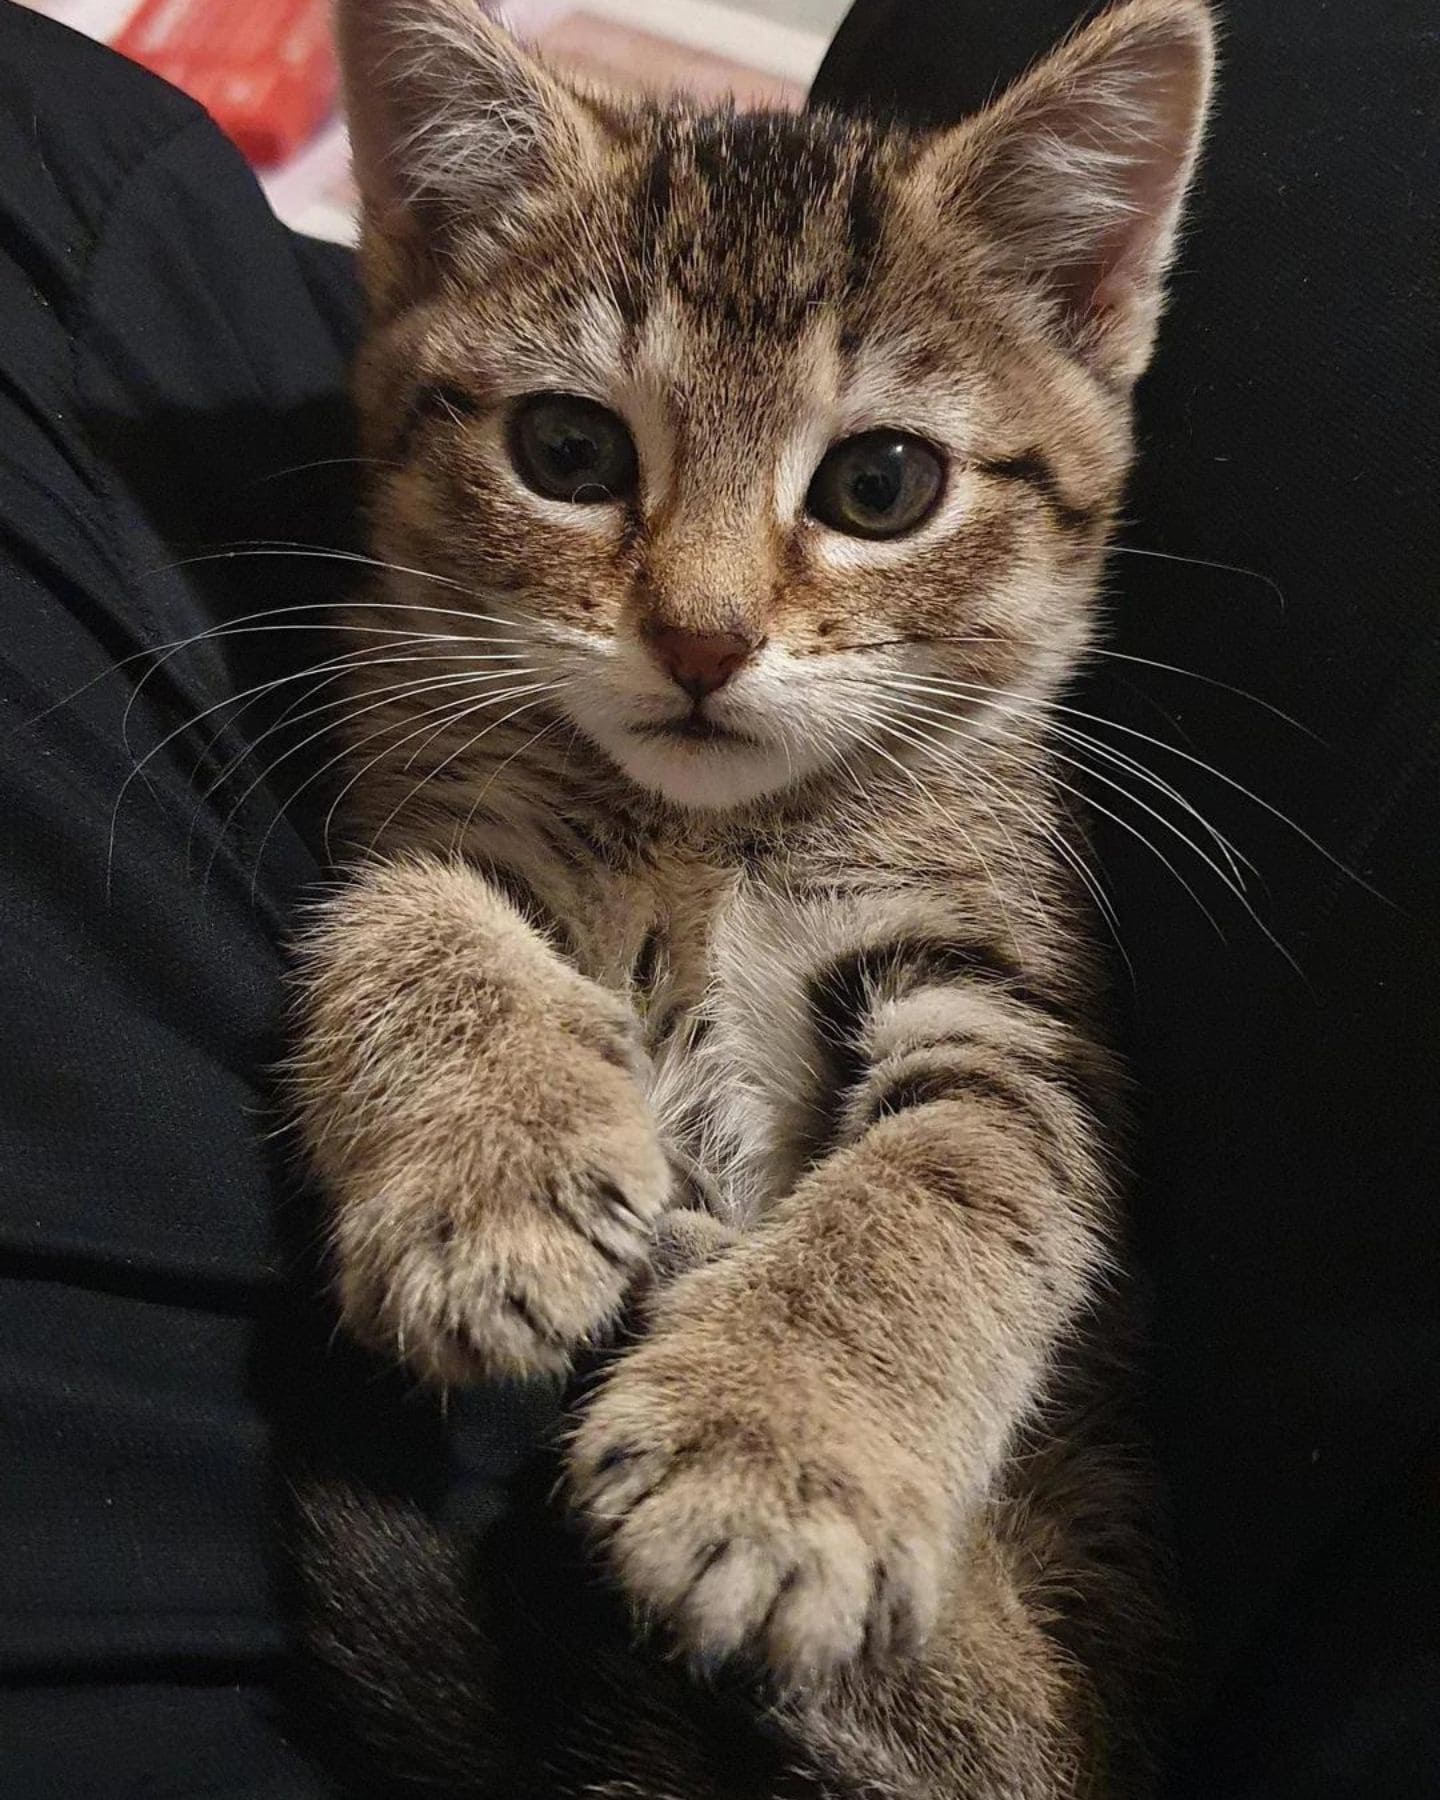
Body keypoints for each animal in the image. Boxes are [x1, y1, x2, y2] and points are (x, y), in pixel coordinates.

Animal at [291, 7, 1216, 1792]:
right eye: (568, 452)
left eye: (881, 486)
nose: (701, 641)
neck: (704, 841)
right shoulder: (429, 813)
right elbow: (404, 916)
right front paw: (490, 1183)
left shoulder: (1013, 995)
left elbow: (955, 1173)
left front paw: (774, 1449)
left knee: (1000, 1736)